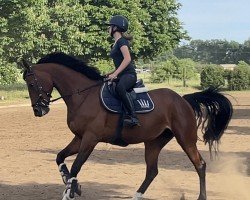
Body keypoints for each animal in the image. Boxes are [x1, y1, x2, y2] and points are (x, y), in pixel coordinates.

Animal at [22, 52, 232, 199]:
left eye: (31, 84)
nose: (38, 110)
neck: (83, 96)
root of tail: (183, 99)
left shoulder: (90, 139)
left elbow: (76, 167)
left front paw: (70, 192)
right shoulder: (79, 137)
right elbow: (60, 158)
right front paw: (73, 187)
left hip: (185, 139)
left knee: (200, 165)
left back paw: (201, 197)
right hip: (154, 142)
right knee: (152, 171)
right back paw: (136, 196)